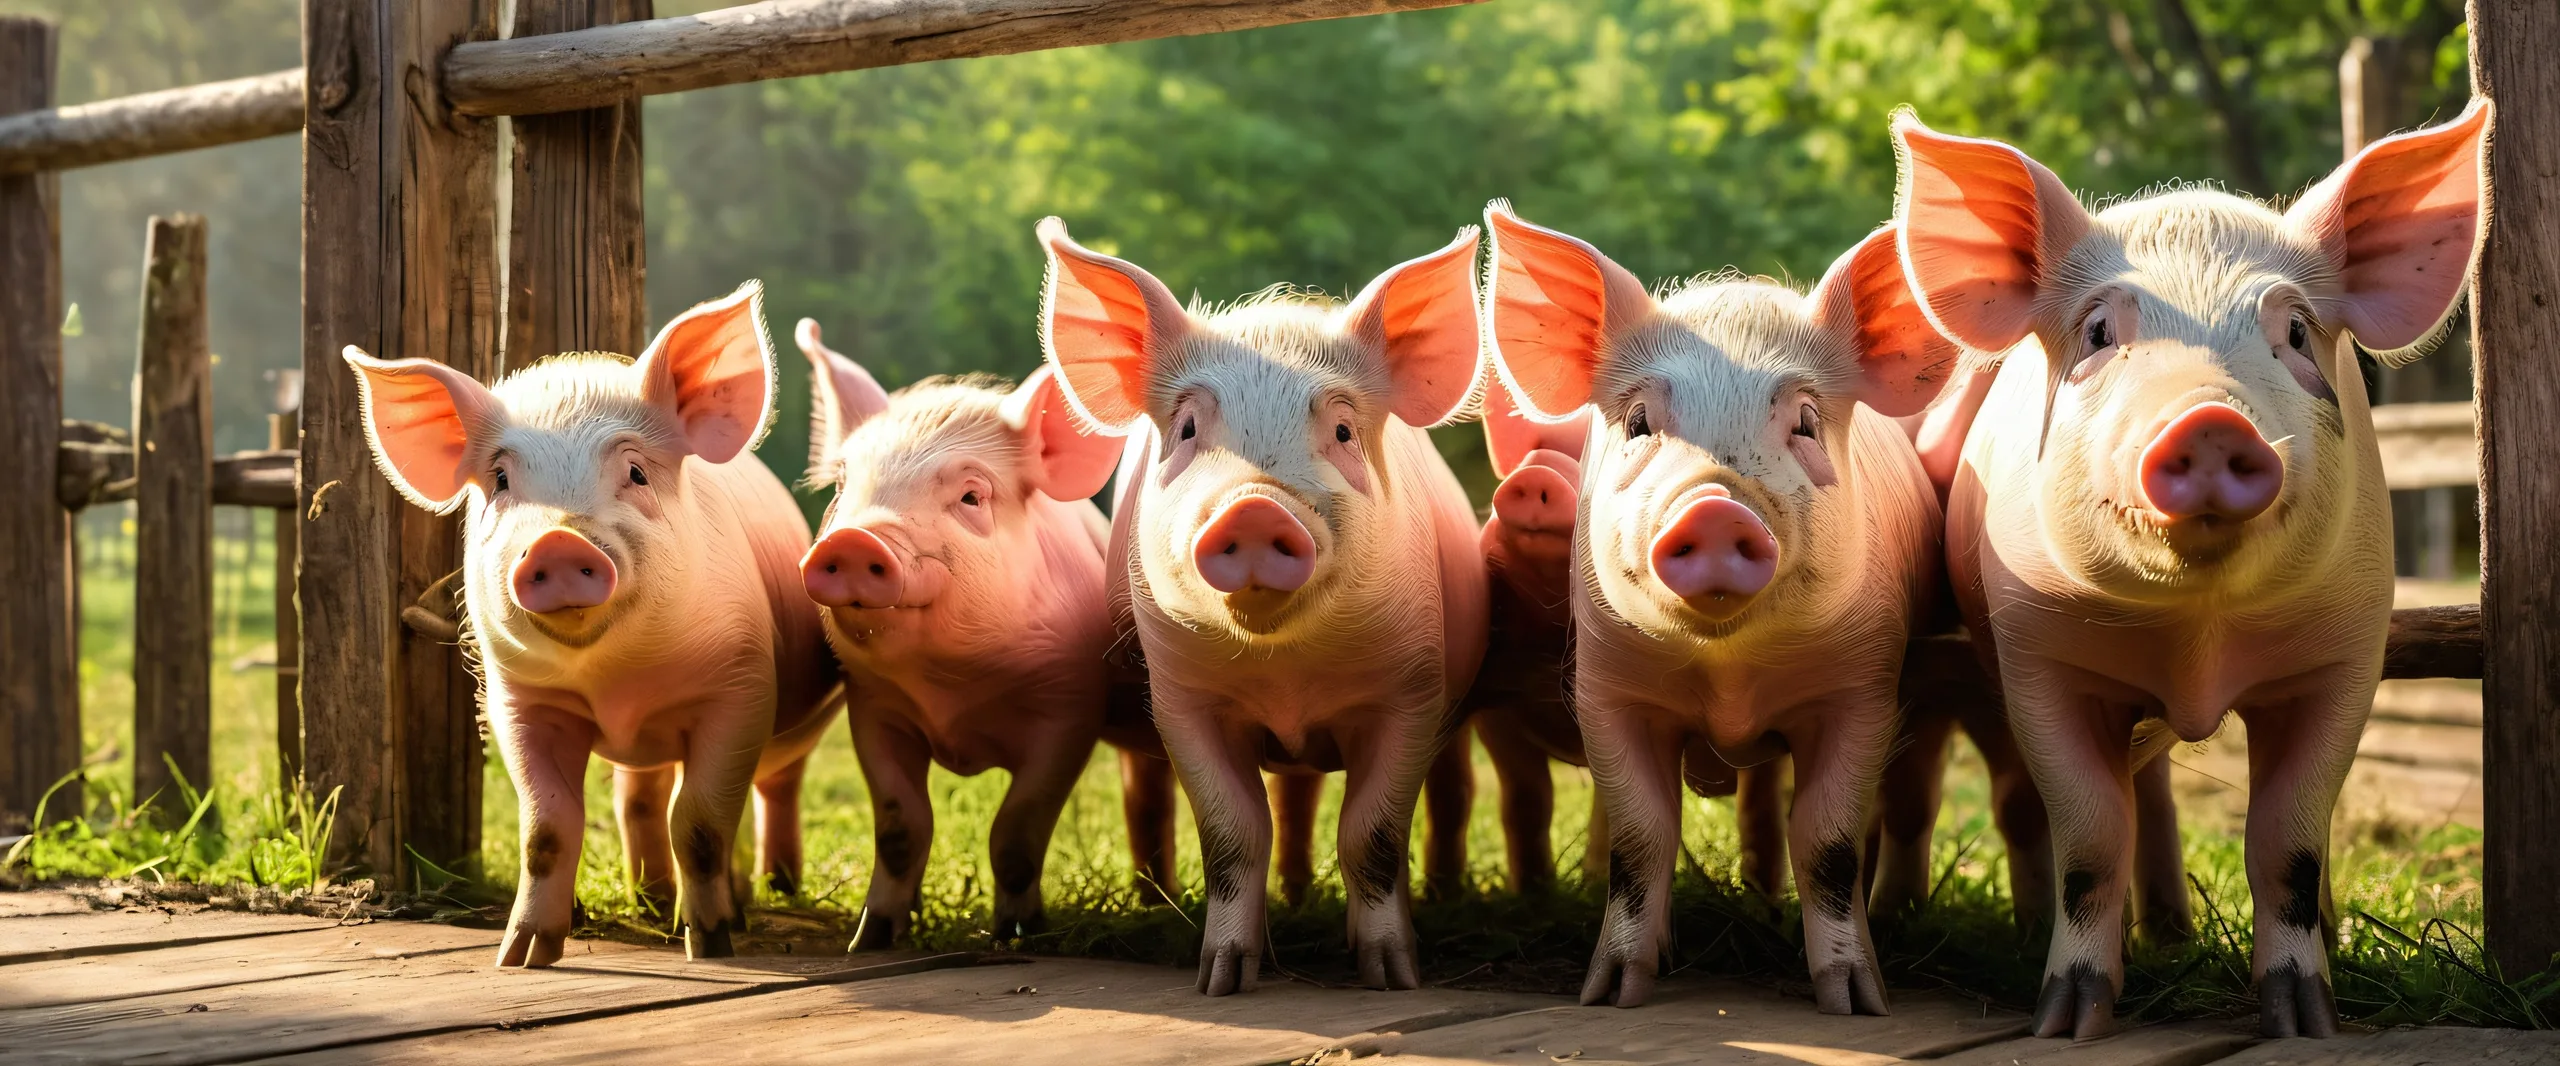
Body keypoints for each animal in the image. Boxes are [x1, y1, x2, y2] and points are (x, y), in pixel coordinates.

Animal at [342, 281, 841, 966]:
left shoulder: (741, 690)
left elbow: (701, 822)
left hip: (800, 726)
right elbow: (546, 828)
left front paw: (711, 945)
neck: (616, 686)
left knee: (770, 789)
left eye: (635, 472)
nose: (558, 540)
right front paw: (520, 955)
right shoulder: (521, 701)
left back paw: (765, 893)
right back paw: (654, 904)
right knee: (639, 799)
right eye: (501, 479)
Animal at [790, 320, 1178, 945]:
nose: (852, 541)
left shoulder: (1068, 709)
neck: (953, 693)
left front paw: (1017, 935)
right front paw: (869, 941)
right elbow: (900, 829)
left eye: (972, 495)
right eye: (843, 486)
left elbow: (1016, 833)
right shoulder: (873, 705)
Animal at [1037, 217, 1490, 994]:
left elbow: (1372, 833)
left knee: (1449, 791)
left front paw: (1391, 976)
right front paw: (1221, 980)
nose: (1253, 507)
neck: (1288, 678)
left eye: (1342, 431)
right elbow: (1232, 835)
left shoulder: (1411, 692)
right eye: (1188, 429)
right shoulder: (1181, 700)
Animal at [1481, 202, 1957, 1013]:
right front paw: (1611, 996)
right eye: (1639, 421)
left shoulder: (1863, 688)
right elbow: (1641, 836)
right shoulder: (1609, 686)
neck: (1729, 677)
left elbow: (1826, 840)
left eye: (1805, 420)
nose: (1713, 507)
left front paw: (1856, 1003)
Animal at [1888, 102, 2490, 1039]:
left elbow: (2288, 839)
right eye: (2099, 330)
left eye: (2295, 330)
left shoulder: (2345, 654)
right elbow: (2091, 834)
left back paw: (2171, 935)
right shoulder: (2039, 658)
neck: (2196, 641)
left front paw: (2305, 1022)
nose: (2210, 420)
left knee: (2160, 796)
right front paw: (2068, 1022)